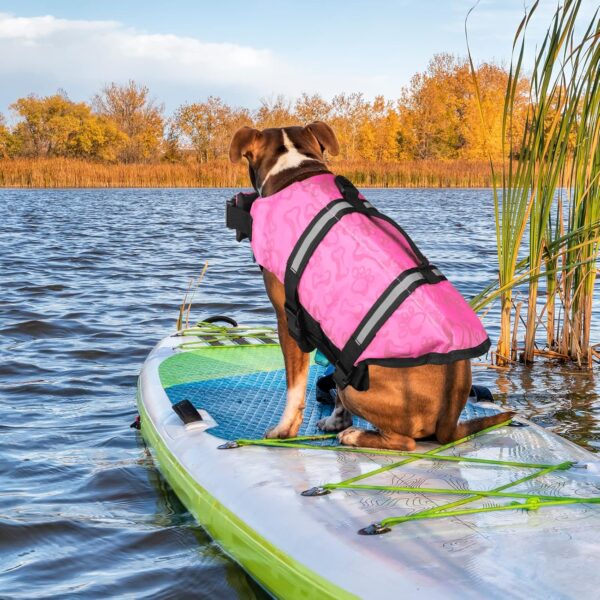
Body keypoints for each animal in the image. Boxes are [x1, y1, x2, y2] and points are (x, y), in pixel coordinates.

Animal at [229, 123, 510, 450]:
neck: (294, 169)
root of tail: (450, 421)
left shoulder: (290, 321)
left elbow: (294, 387)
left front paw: (283, 431)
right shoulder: (336, 346)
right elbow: (335, 380)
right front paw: (336, 419)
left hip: (361, 389)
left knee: (405, 442)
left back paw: (357, 435)